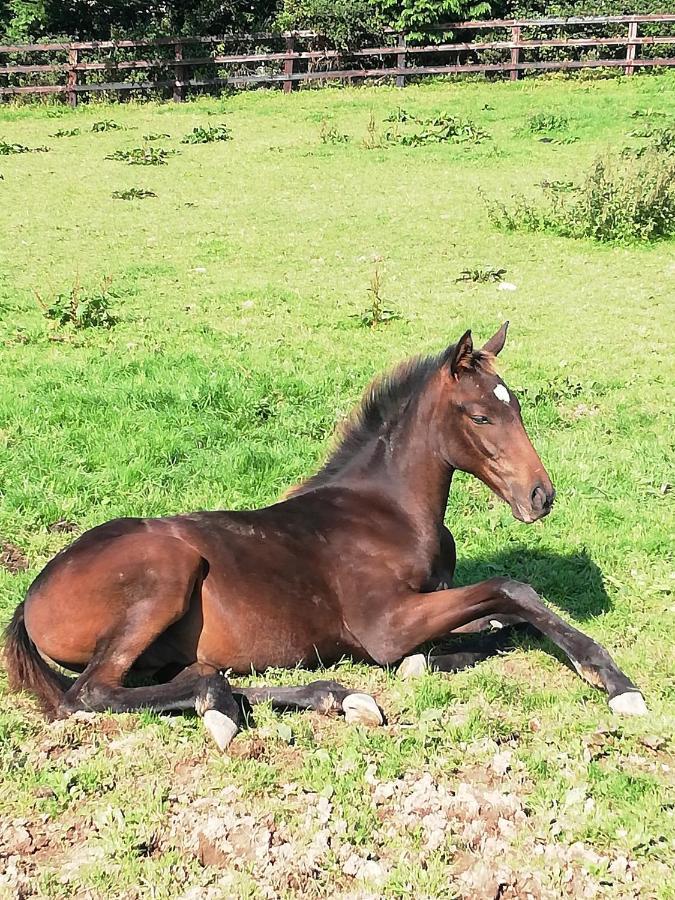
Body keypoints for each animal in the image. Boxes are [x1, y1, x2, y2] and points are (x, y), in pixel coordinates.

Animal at [2, 326, 648, 752]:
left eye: (516, 407)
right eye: (480, 416)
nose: (541, 496)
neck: (389, 512)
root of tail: (29, 597)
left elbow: (501, 620)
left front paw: (428, 662)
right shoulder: (385, 625)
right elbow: (515, 590)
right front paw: (615, 682)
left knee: (197, 677)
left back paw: (331, 696)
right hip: (167, 572)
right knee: (92, 695)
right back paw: (234, 709)